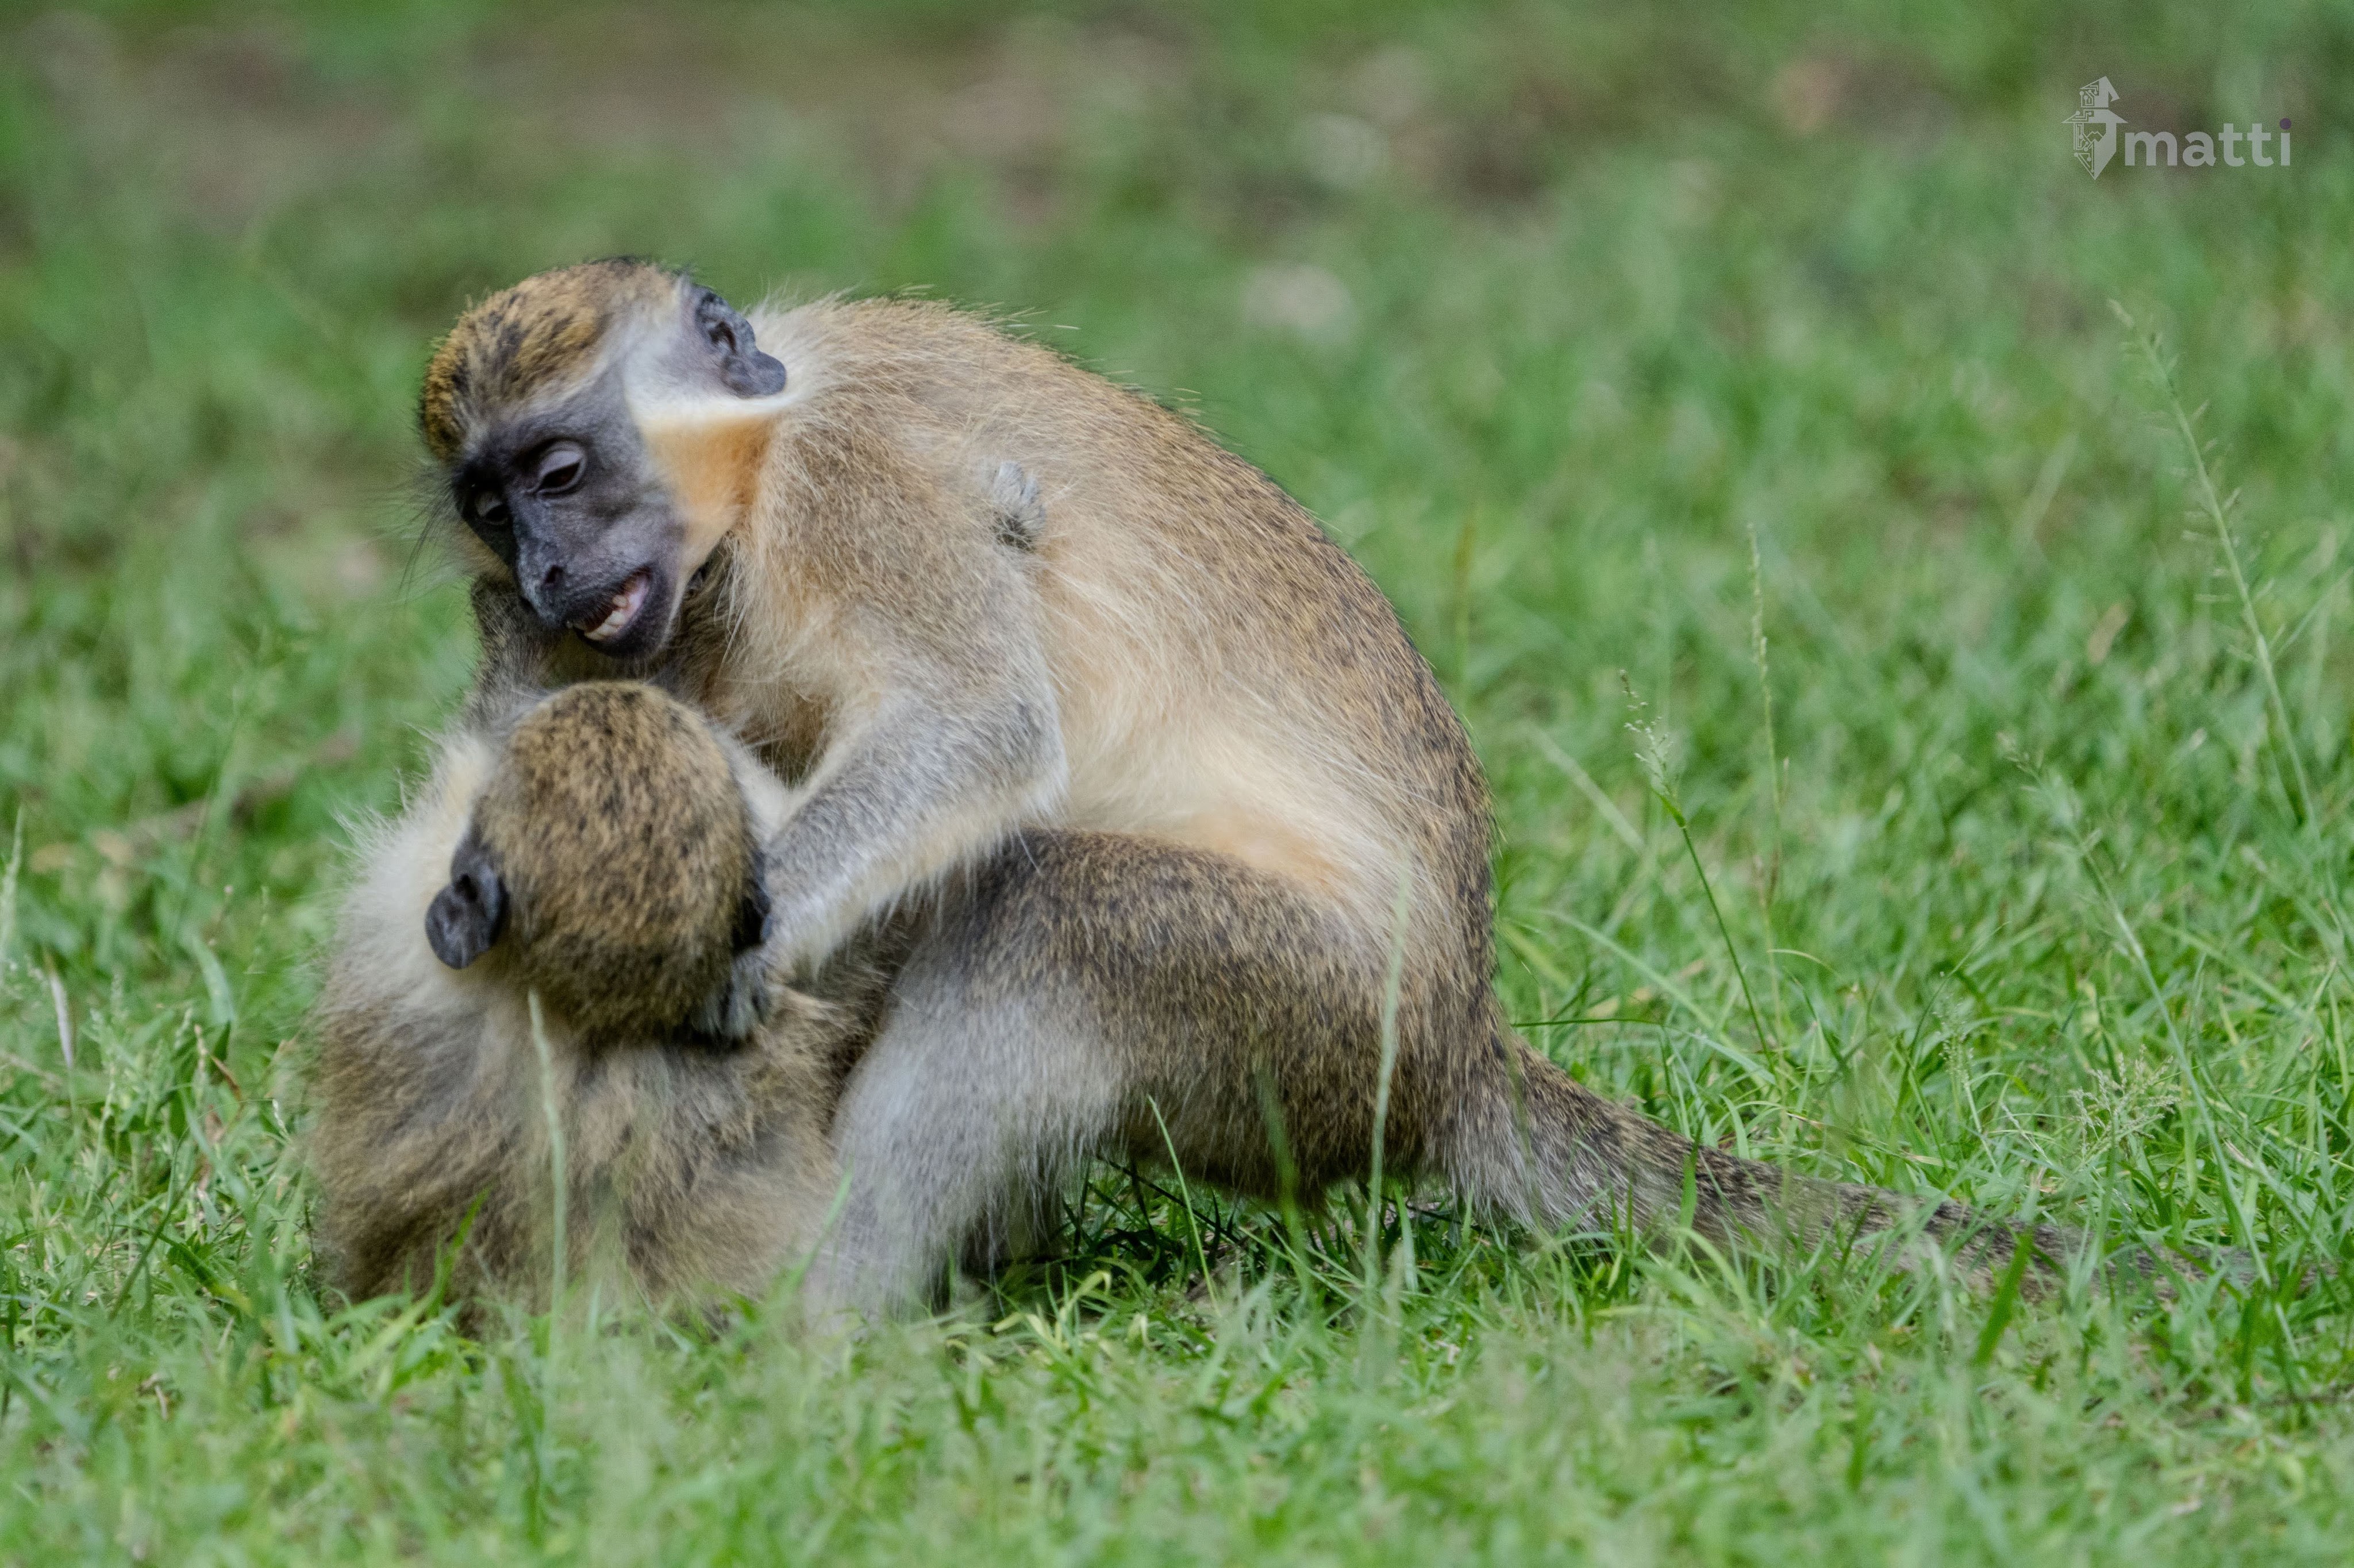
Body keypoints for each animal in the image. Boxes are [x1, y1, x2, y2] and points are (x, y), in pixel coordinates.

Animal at [408, 258, 2098, 1312]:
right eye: (490, 508)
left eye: (562, 473)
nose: (543, 574)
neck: (757, 472)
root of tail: (1462, 1041)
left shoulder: (861, 483)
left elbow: (972, 732)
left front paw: (727, 961)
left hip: (1314, 1027)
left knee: (1056, 916)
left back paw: (814, 1320)